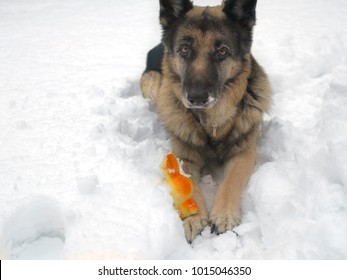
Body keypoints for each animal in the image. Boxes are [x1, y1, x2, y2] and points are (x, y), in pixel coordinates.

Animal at [141, 0, 272, 243]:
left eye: (222, 51)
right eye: (184, 49)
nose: (197, 98)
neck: (211, 125)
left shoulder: (245, 152)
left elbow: (231, 180)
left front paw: (224, 214)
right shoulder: (183, 156)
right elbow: (189, 183)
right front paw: (192, 218)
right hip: (153, 85)